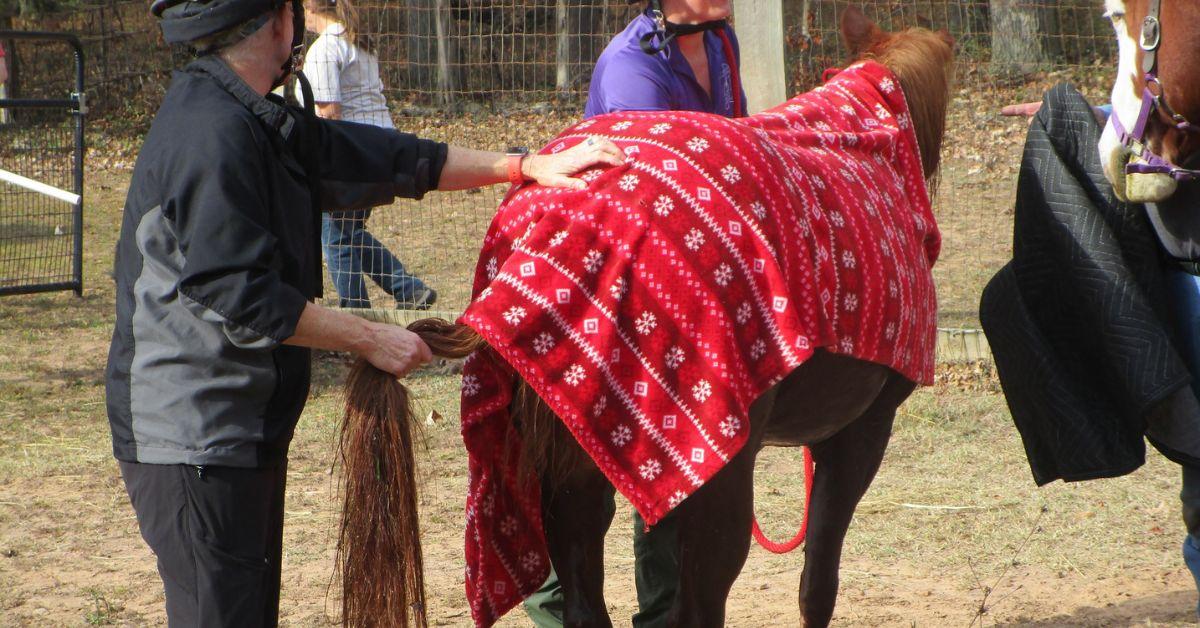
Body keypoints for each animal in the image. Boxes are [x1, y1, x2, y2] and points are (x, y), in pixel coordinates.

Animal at [336, 7, 954, 628]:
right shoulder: (860, 433)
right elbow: (817, 584)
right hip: (714, 473)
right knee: (697, 605)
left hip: (574, 462)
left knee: (586, 599)